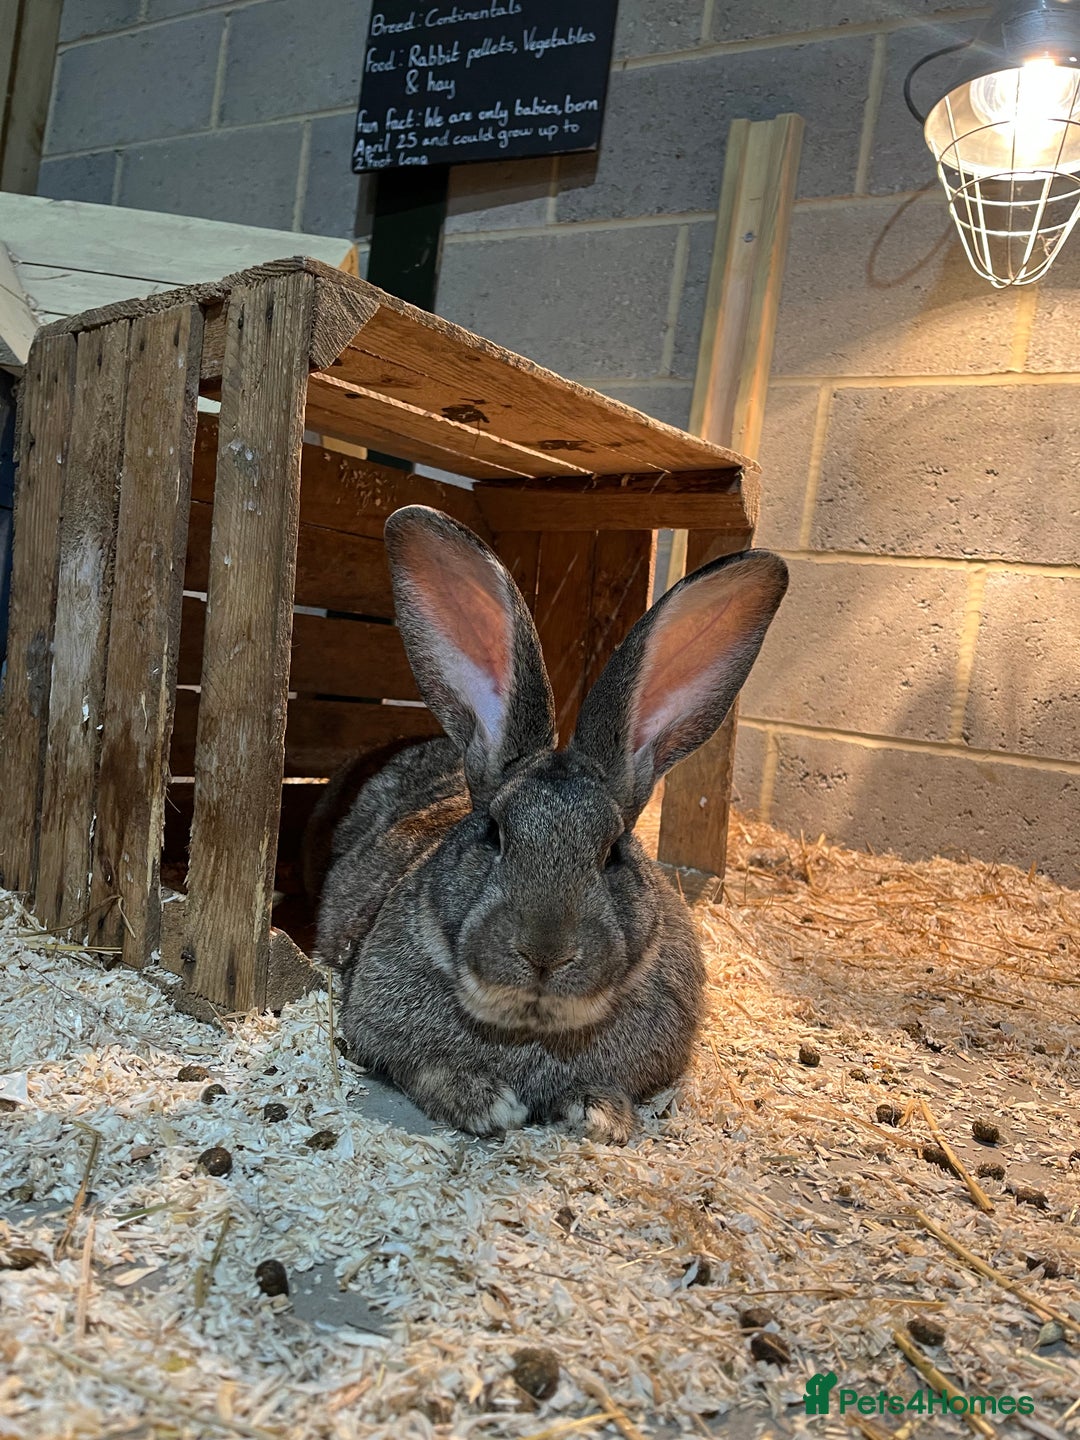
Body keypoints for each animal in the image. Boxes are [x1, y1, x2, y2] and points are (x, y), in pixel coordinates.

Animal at [311, 504, 788, 1144]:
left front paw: (601, 1115)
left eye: (613, 852)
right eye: (492, 833)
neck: (533, 1026)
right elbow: (422, 1069)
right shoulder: (374, 1033)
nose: (544, 955)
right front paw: (488, 1103)